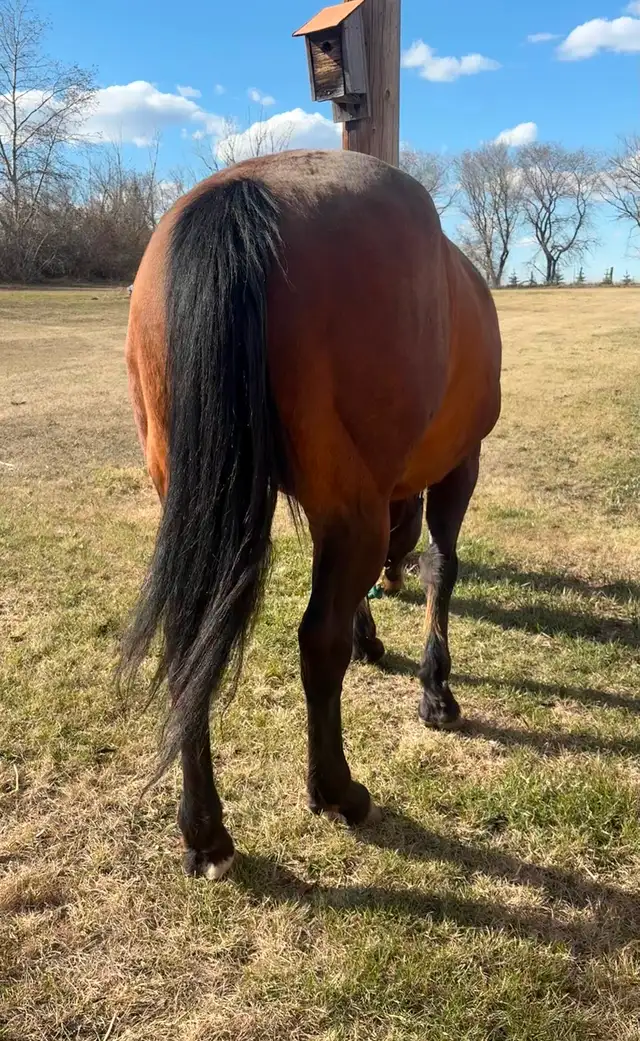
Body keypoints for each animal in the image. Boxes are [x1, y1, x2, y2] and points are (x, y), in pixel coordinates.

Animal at [122, 148, 502, 881]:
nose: (391, 577)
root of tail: (245, 191)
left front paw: (373, 638)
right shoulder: (457, 464)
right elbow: (443, 566)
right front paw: (435, 689)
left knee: (190, 640)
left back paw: (204, 832)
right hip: (359, 501)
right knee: (315, 641)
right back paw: (338, 791)